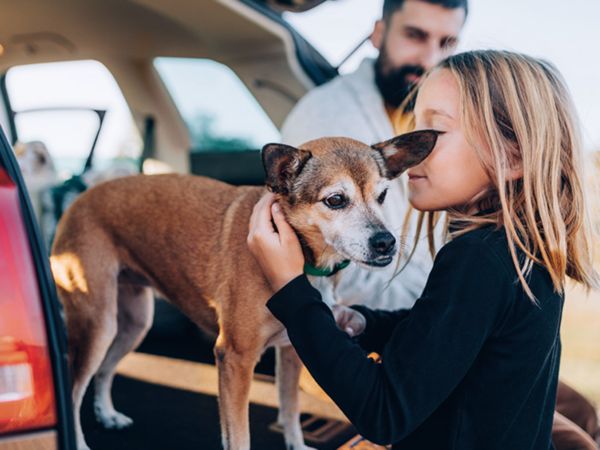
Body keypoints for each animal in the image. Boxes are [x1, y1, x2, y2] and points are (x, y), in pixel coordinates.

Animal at [50, 128, 436, 448]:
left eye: (383, 196)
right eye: (336, 200)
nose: (385, 242)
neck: (302, 258)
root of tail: (80, 198)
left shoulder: (292, 351)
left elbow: (290, 412)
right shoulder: (235, 358)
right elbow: (238, 436)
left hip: (133, 324)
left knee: (103, 372)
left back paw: (107, 414)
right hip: (98, 324)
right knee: (73, 390)